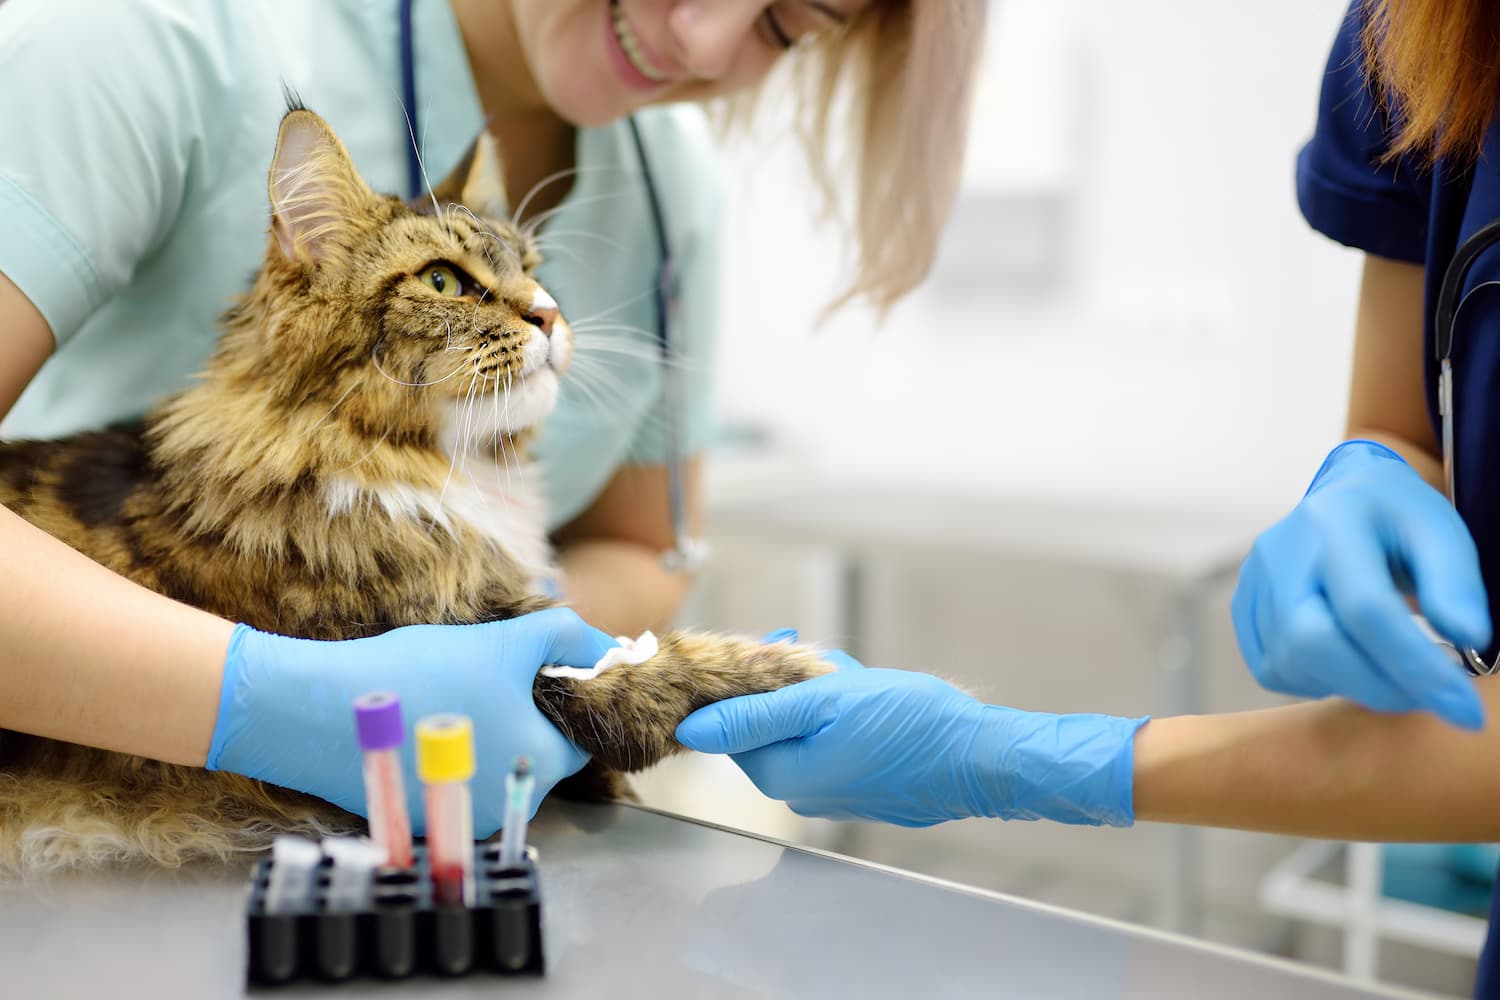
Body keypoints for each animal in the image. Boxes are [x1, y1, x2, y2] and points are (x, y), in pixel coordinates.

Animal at [0, 107, 834, 875]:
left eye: (534, 268)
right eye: (444, 281)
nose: (550, 314)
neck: (440, 472)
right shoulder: (507, 654)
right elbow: (672, 671)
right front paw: (814, 675)